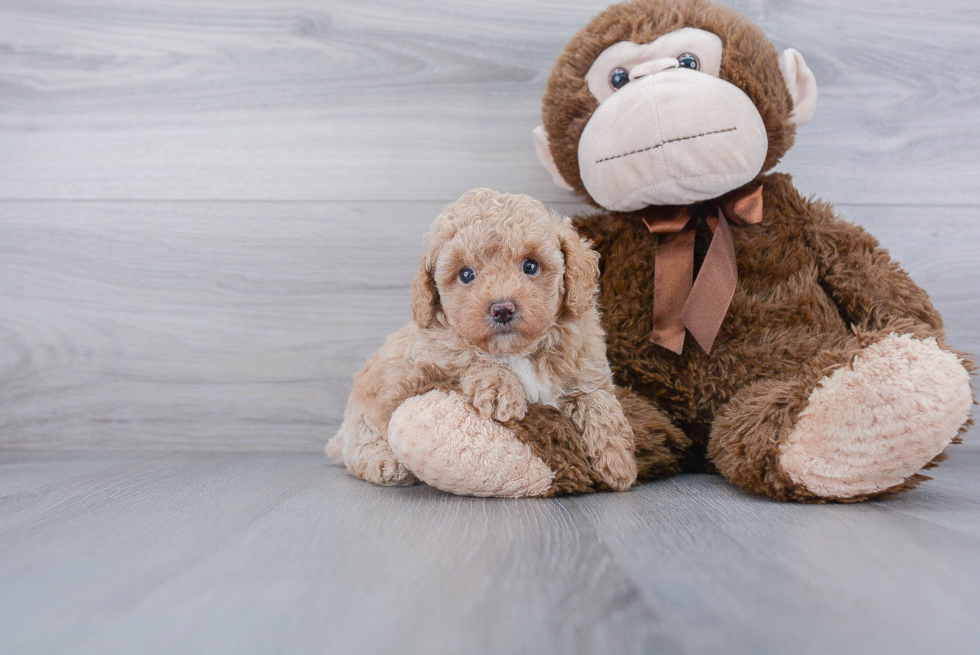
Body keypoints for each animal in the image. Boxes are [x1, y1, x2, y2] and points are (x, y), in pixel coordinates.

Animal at [326, 187, 640, 490]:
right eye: (466, 274)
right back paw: (385, 463)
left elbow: (599, 402)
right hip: (365, 414)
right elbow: (470, 358)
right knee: (358, 445)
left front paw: (618, 461)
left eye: (530, 266)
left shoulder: (585, 368)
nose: (502, 309)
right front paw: (502, 389)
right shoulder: (430, 362)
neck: (518, 352)